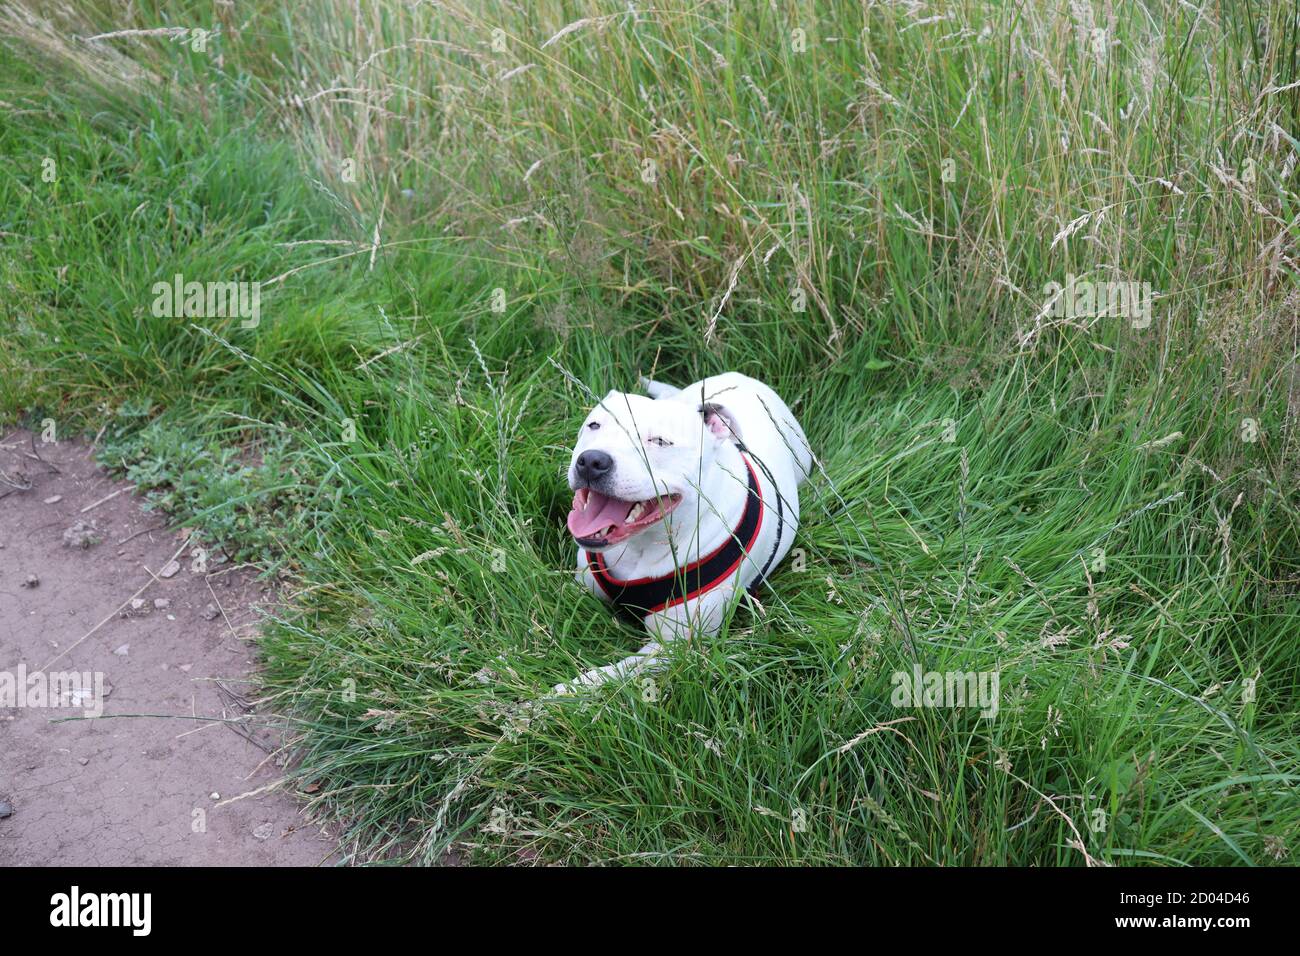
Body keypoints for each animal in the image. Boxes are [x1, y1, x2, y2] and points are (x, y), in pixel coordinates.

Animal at [559, 369, 811, 691]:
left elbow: (616, 673)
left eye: (660, 441)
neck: (640, 546)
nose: (592, 460)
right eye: (594, 425)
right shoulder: (580, 586)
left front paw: (567, 690)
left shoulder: (675, 648)